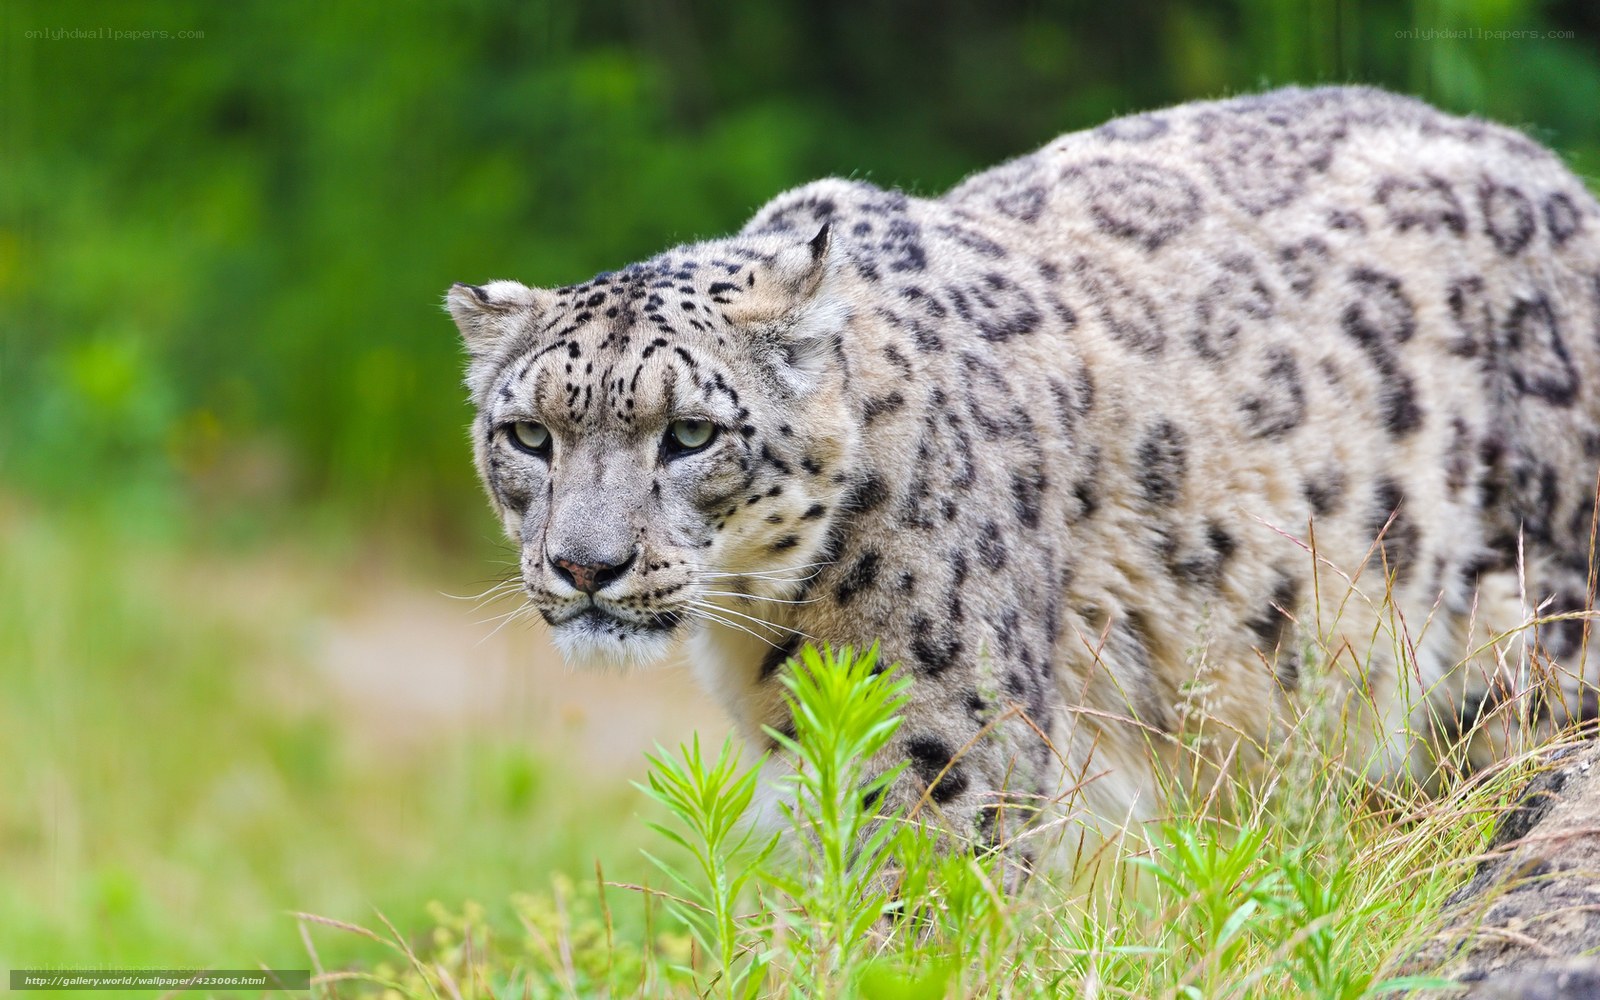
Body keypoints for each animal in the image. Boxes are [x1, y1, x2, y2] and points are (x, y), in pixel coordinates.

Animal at [446, 86, 1600, 872]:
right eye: (529, 435)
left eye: (688, 433)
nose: (585, 565)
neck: (765, 627)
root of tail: (1559, 178)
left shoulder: (940, 743)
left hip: (1536, 626)